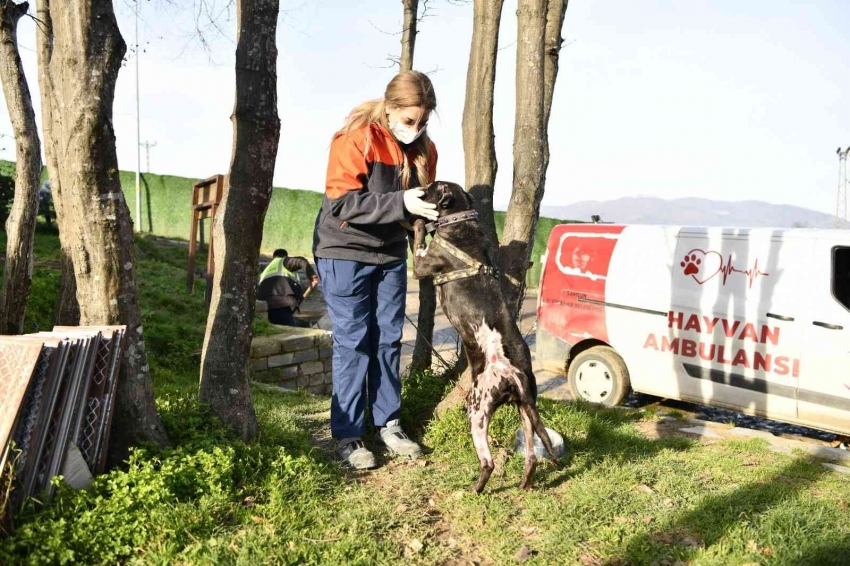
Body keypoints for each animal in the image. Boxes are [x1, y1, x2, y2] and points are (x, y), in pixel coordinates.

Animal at [410, 181, 556, 492]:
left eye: (430, 186)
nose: (416, 189)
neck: (460, 221)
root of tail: (513, 374)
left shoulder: (421, 266)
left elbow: (418, 241)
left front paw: (418, 222)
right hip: (526, 409)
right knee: (531, 457)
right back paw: (524, 484)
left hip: (476, 409)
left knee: (487, 462)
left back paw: (473, 491)